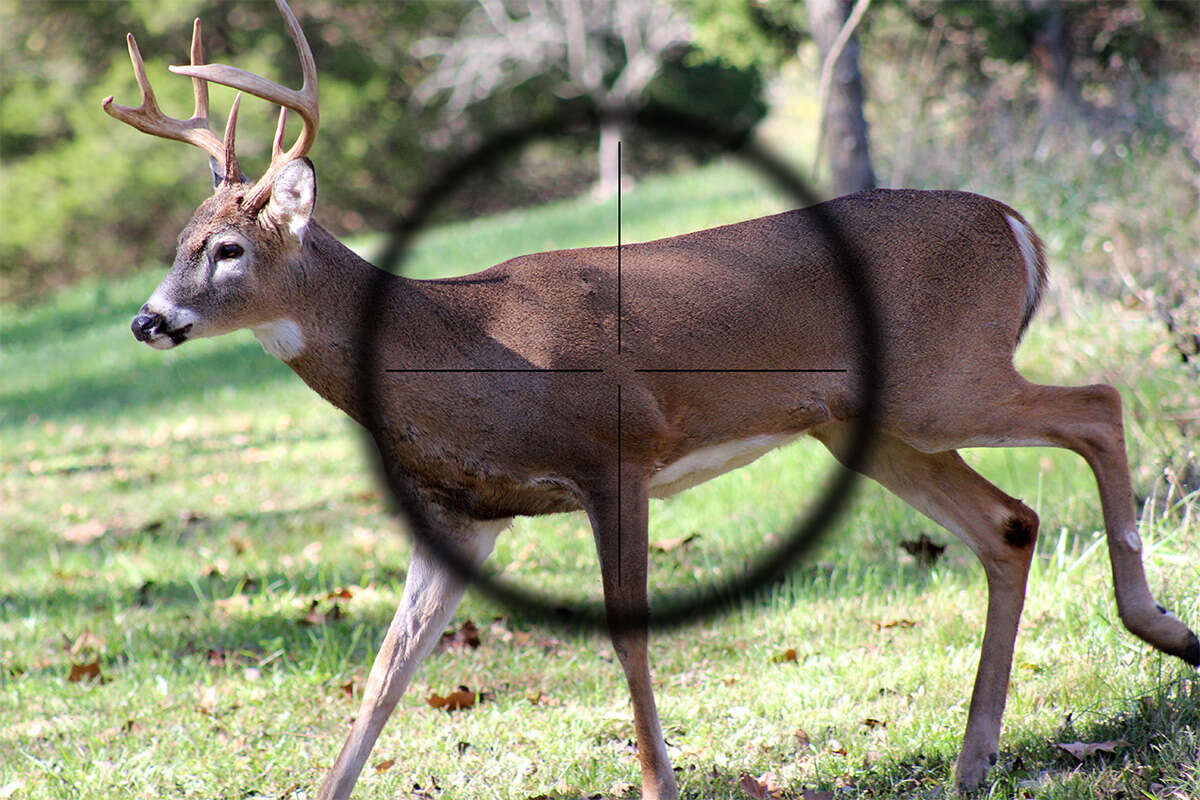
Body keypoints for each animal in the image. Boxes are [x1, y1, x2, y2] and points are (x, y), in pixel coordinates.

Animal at [105, 3, 1200, 796]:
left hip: (943, 381)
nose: (149, 320)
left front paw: (657, 781)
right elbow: (385, 674)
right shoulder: (466, 509)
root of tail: (1017, 222)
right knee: (1010, 524)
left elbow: (628, 642)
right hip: (869, 423)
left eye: (227, 248)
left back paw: (1158, 626)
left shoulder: (615, 454)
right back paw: (976, 757)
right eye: (177, 241)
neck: (452, 347)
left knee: (1099, 403)